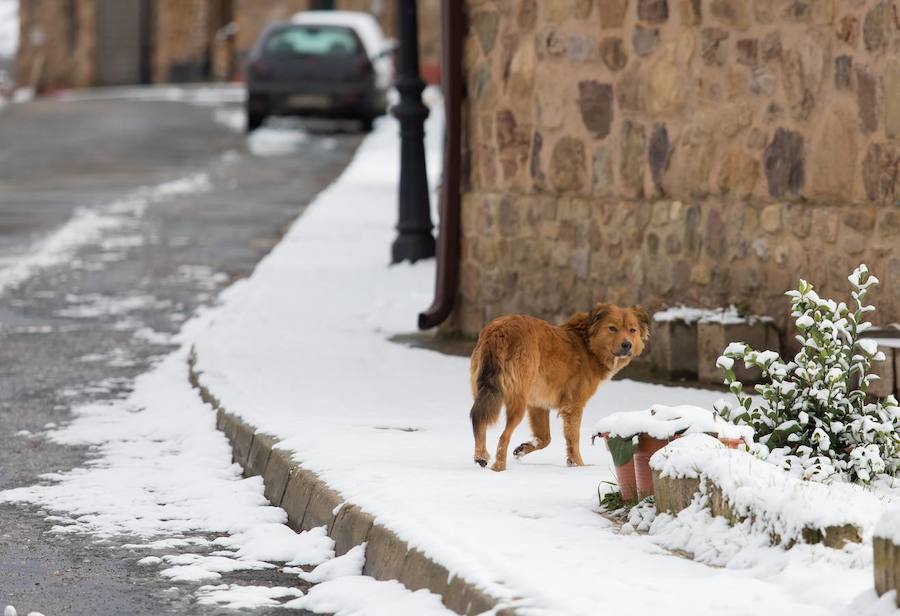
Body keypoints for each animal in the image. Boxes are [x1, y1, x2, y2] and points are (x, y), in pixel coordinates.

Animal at [472, 304, 648, 472]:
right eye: (612, 328)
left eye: (632, 330)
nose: (627, 345)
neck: (587, 345)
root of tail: (500, 330)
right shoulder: (574, 406)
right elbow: (573, 440)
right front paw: (579, 467)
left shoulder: (538, 404)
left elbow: (545, 438)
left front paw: (523, 449)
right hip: (517, 401)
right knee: (503, 436)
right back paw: (499, 467)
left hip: (484, 393)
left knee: (479, 421)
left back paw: (481, 456)